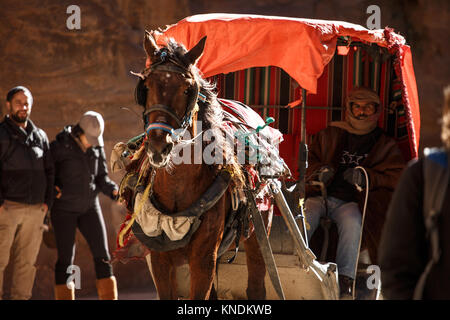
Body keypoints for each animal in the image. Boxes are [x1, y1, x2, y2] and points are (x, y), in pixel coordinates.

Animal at [128, 31, 274, 300]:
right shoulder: (160, 260)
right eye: (147, 86)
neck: (178, 187)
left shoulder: (203, 259)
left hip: (258, 231)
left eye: (187, 89)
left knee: (256, 283)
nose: (158, 145)